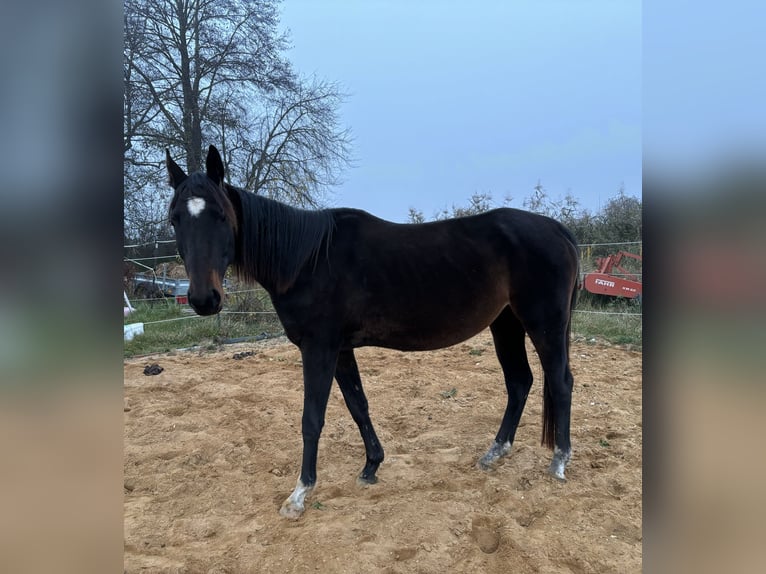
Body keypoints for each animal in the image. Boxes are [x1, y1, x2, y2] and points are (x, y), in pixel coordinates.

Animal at [166, 145, 584, 520]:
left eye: (221, 215)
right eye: (174, 219)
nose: (204, 299)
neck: (306, 261)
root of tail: (558, 230)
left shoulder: (319, 348)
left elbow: (311, 419)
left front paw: (299, 494)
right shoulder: (340, 350)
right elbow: (358, 405)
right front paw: (371, 466)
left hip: (543, 323)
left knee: (560, 382)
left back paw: (559, 461)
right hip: (506, 323)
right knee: (520, 381)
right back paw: (495, 452)